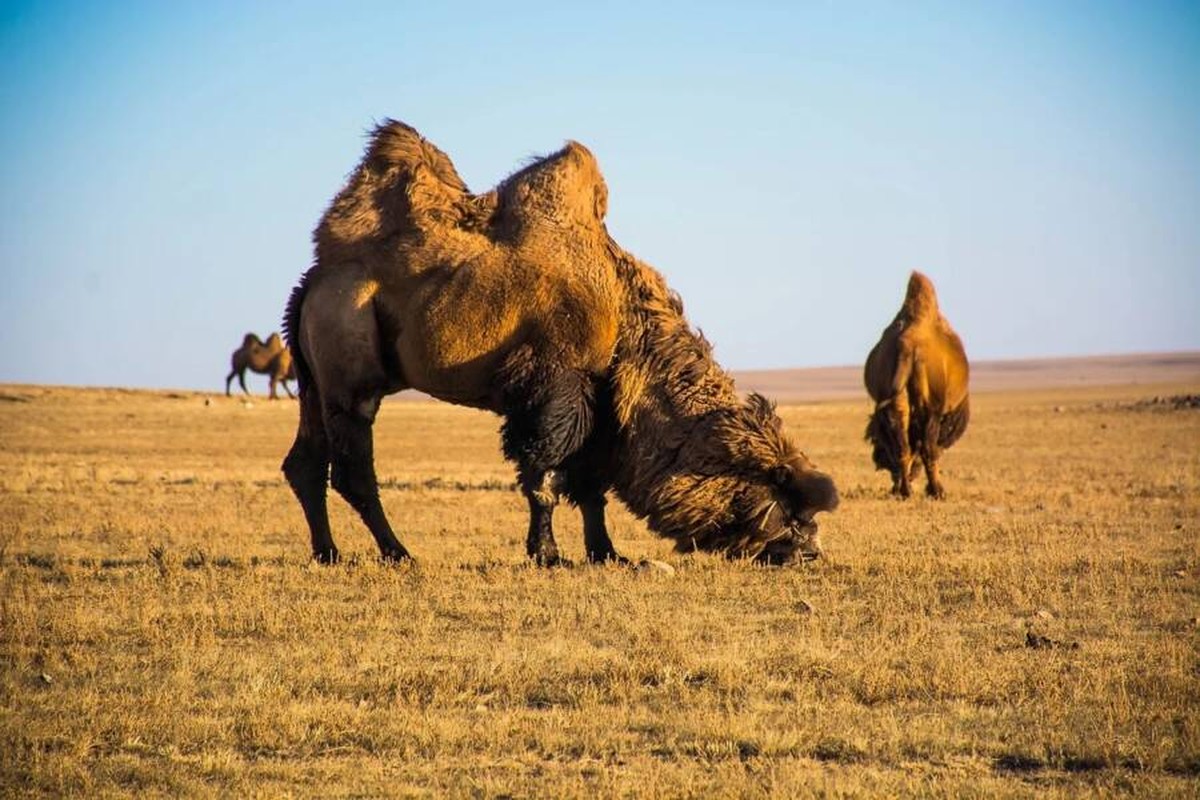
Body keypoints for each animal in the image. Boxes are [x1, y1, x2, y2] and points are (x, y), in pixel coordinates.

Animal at [864, 275, 964, 501]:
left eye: (876, 440)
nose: (876, 460)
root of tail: (908, 346)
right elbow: (933, 447)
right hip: (929, 407)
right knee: (926, 447)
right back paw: (937, 491)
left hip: (896, 400)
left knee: (903, 446)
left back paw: (905, 490)